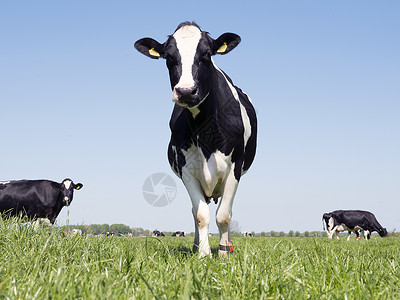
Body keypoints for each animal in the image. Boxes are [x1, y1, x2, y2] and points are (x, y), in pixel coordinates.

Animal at [134, 21, 258, 258]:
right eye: (168, 57)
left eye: (206, 54)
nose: (186, 91)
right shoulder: (187, 169)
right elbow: (201, 214)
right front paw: (203, 255)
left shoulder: (235, 168)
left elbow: (224, 216)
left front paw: (223, 254)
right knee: (195, 211)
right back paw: (195, 245)